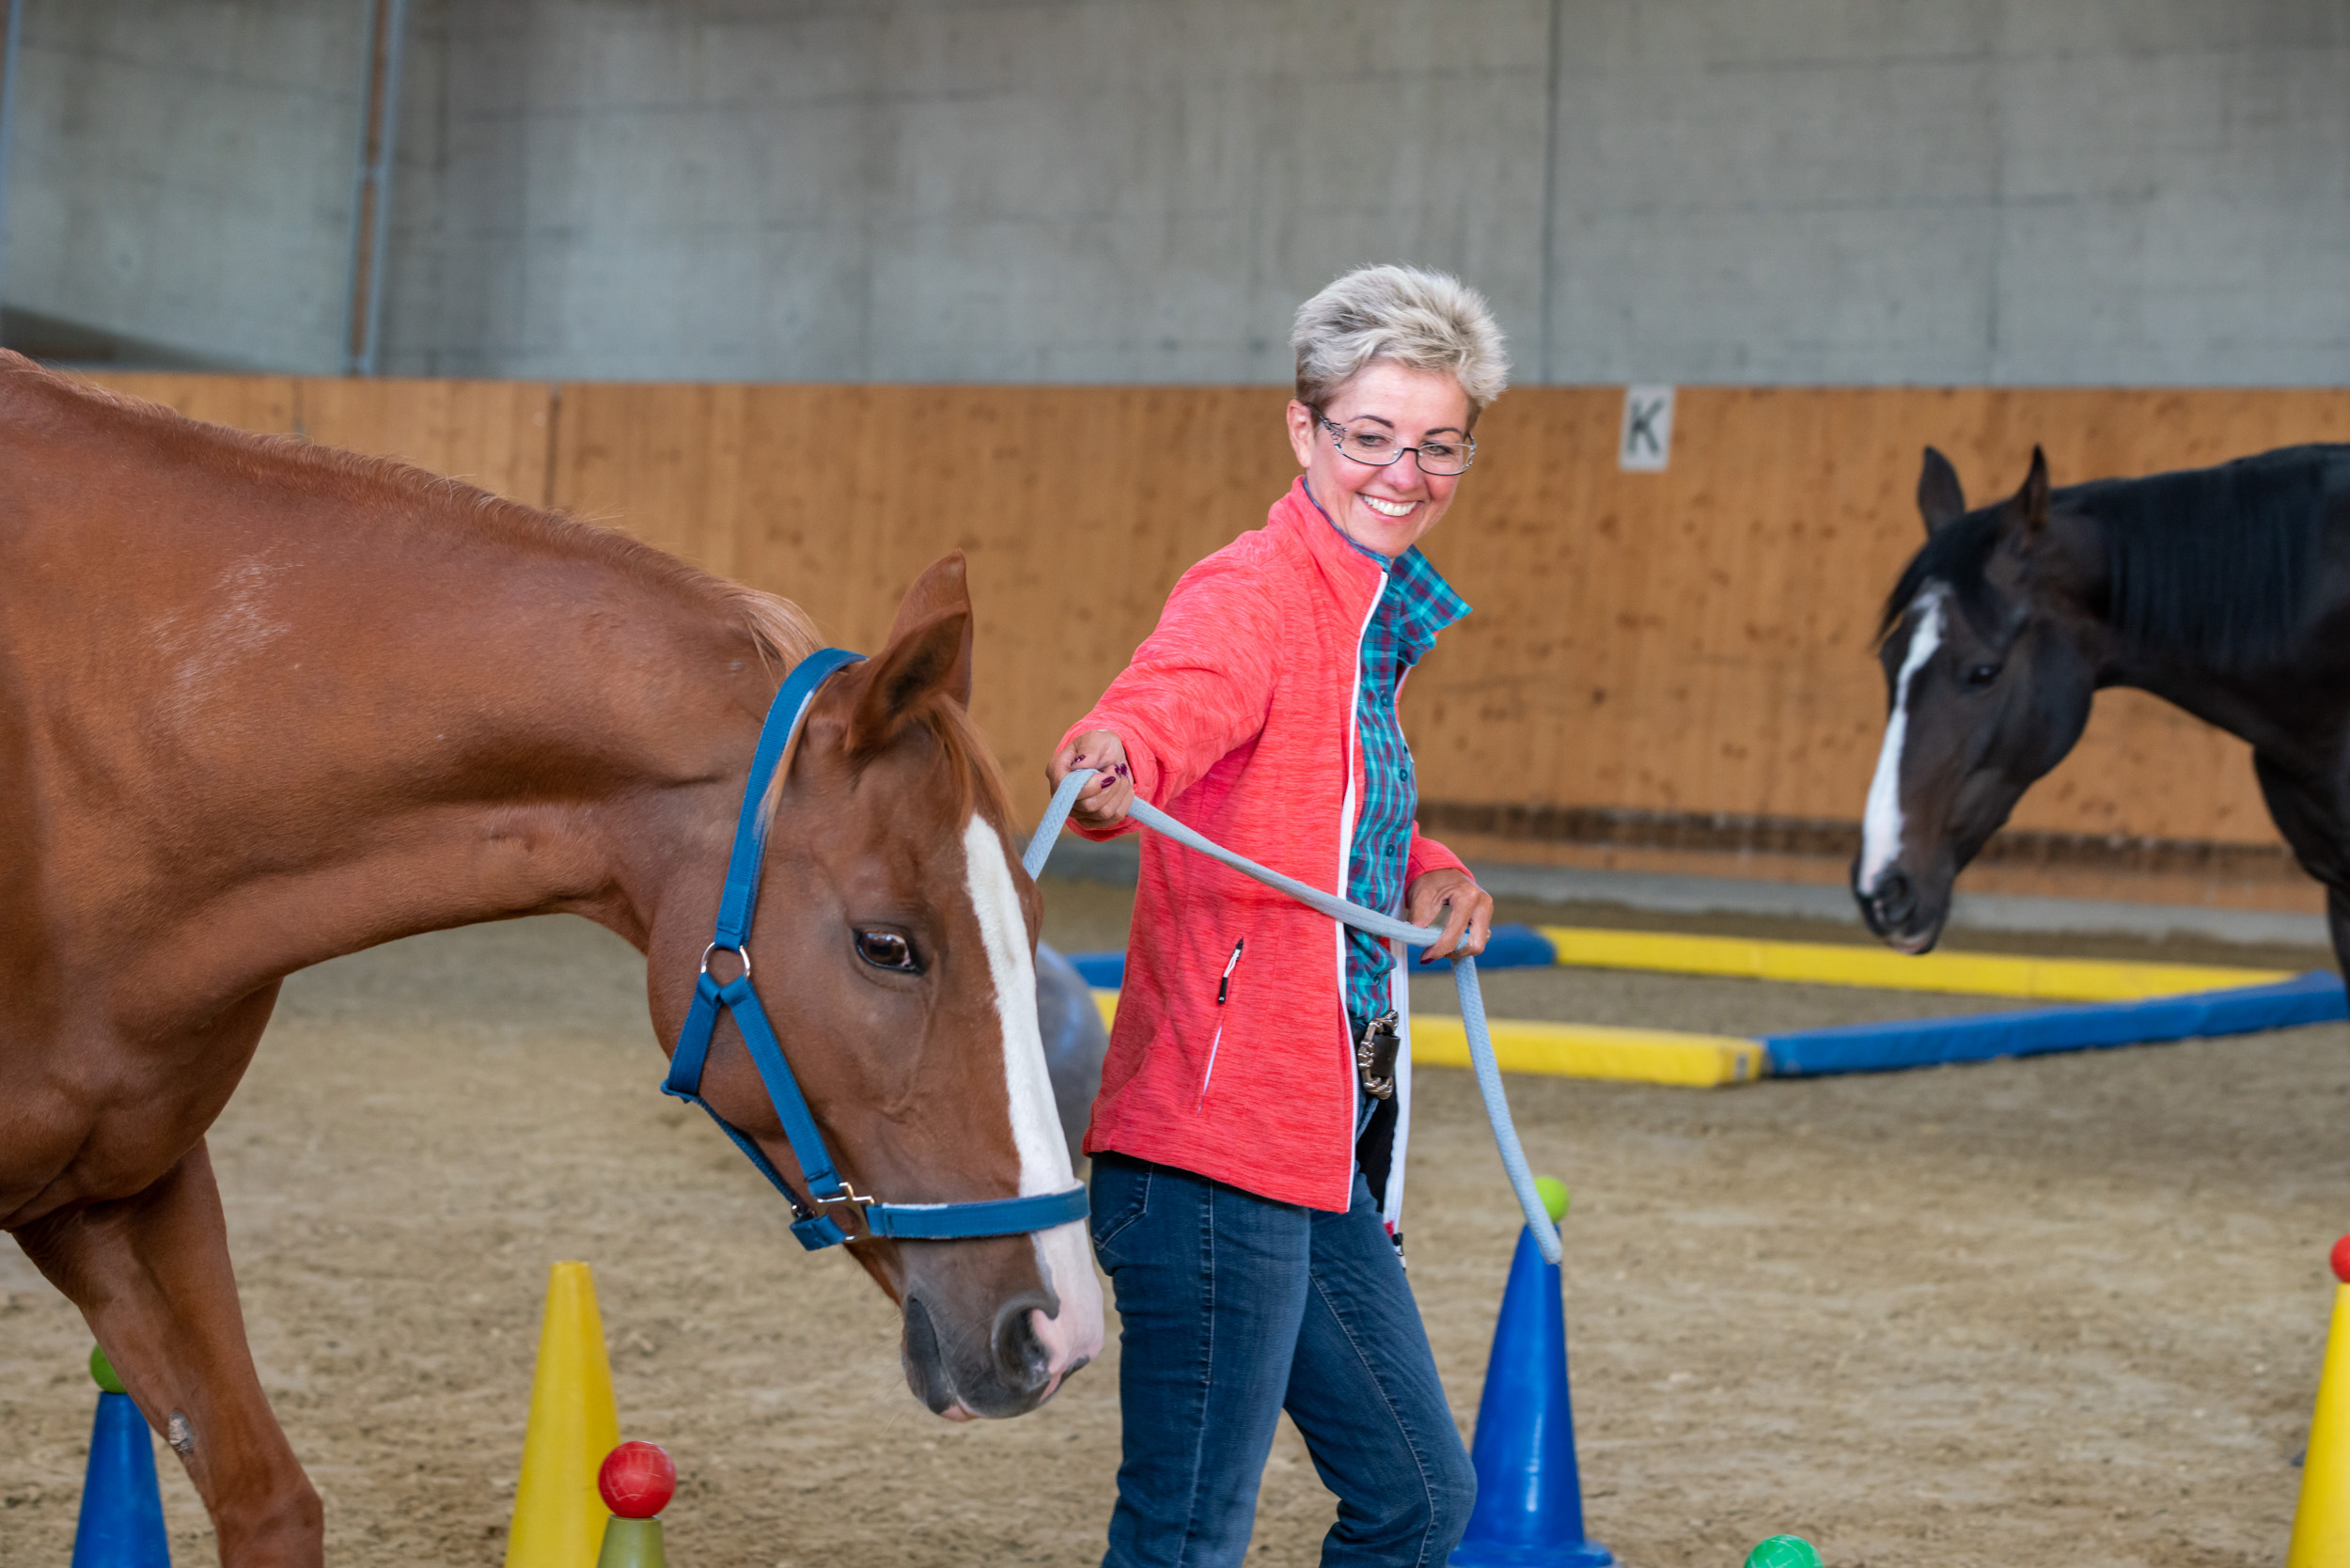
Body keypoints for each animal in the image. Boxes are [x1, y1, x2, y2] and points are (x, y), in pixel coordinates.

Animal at [0, 352, 1102, 1566]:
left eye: (1033, 919)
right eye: (887, 945)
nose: (1060, 1327)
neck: (98, 737)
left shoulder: (122, 1192)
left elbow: (271, 1498)